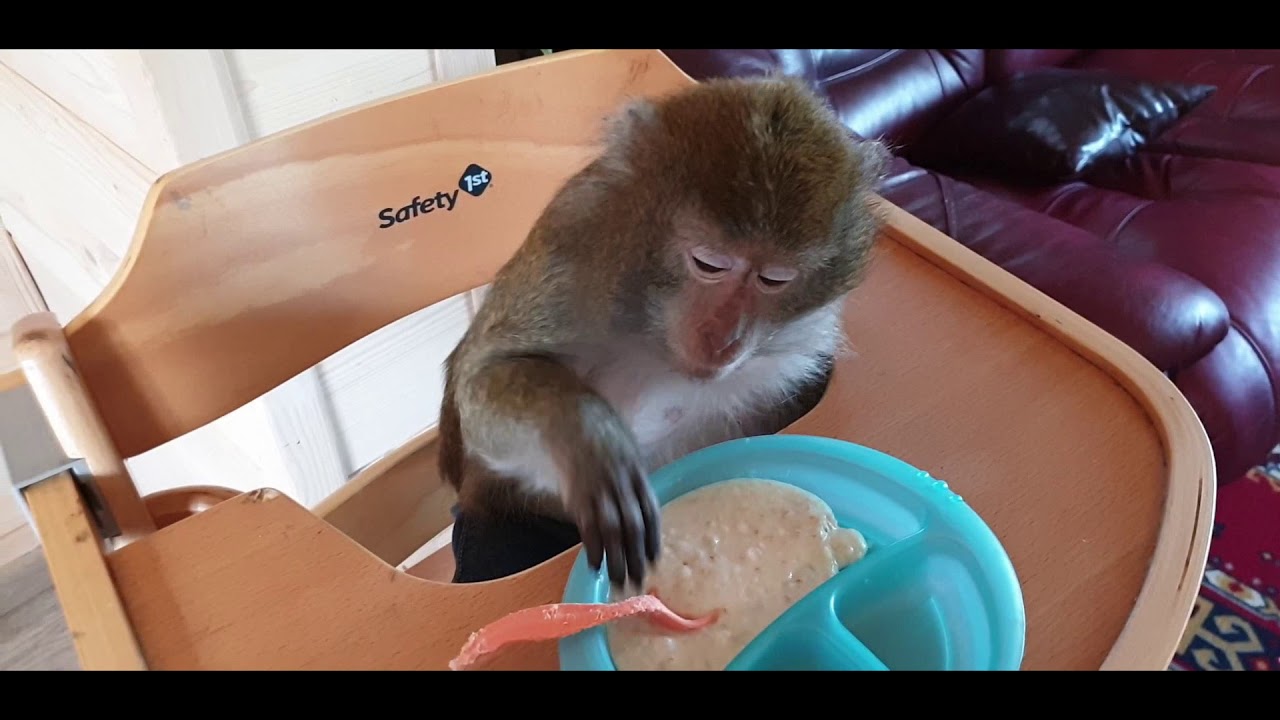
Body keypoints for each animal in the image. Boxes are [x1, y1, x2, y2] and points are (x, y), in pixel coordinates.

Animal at [437, 75, 891, 590]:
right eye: (709, 264)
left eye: (773, 279)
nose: (724, 336)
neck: (650, 328)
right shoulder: (570, 260)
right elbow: (480, 382)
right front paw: (588, 438)